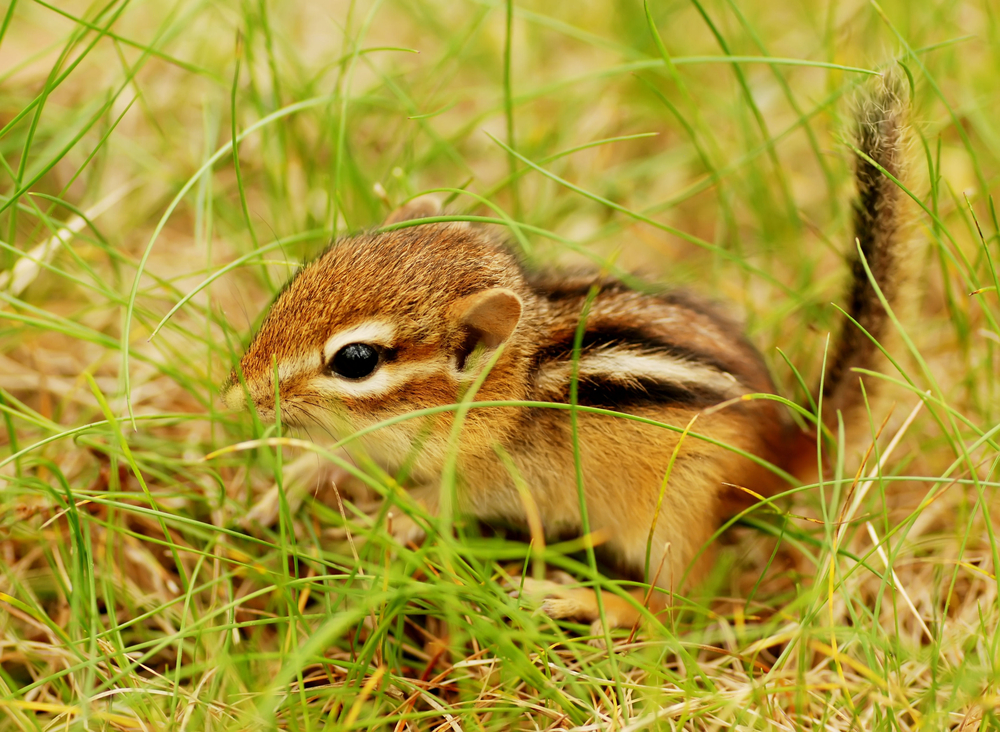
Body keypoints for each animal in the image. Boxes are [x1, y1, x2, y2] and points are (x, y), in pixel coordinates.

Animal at [223, 73, 915, 632]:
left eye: (356, 361)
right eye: (306, 275)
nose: (235, 397)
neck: (510, 386)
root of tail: (788, 444)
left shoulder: (505, 479)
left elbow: (445, 501)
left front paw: (387, 520)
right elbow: (339, 457)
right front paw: (289, 482)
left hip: (675, 514)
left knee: (679, 607)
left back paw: (580, 600)